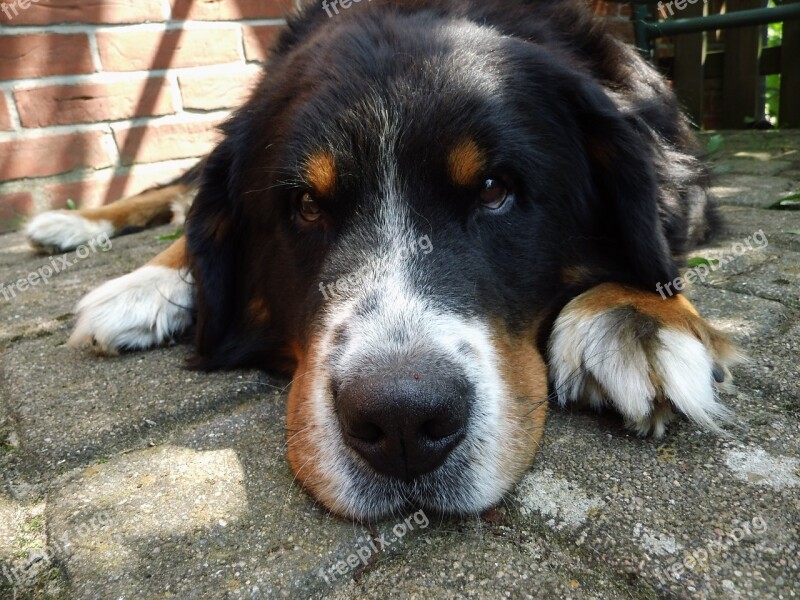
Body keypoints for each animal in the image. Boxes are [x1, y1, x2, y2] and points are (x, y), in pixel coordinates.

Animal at [23, 0, 736, 520]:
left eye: (494, 190)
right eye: (306, 205)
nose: (401, 420)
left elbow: (658, 251)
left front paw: (638, 314)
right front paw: (151, 281)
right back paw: (84, 238)